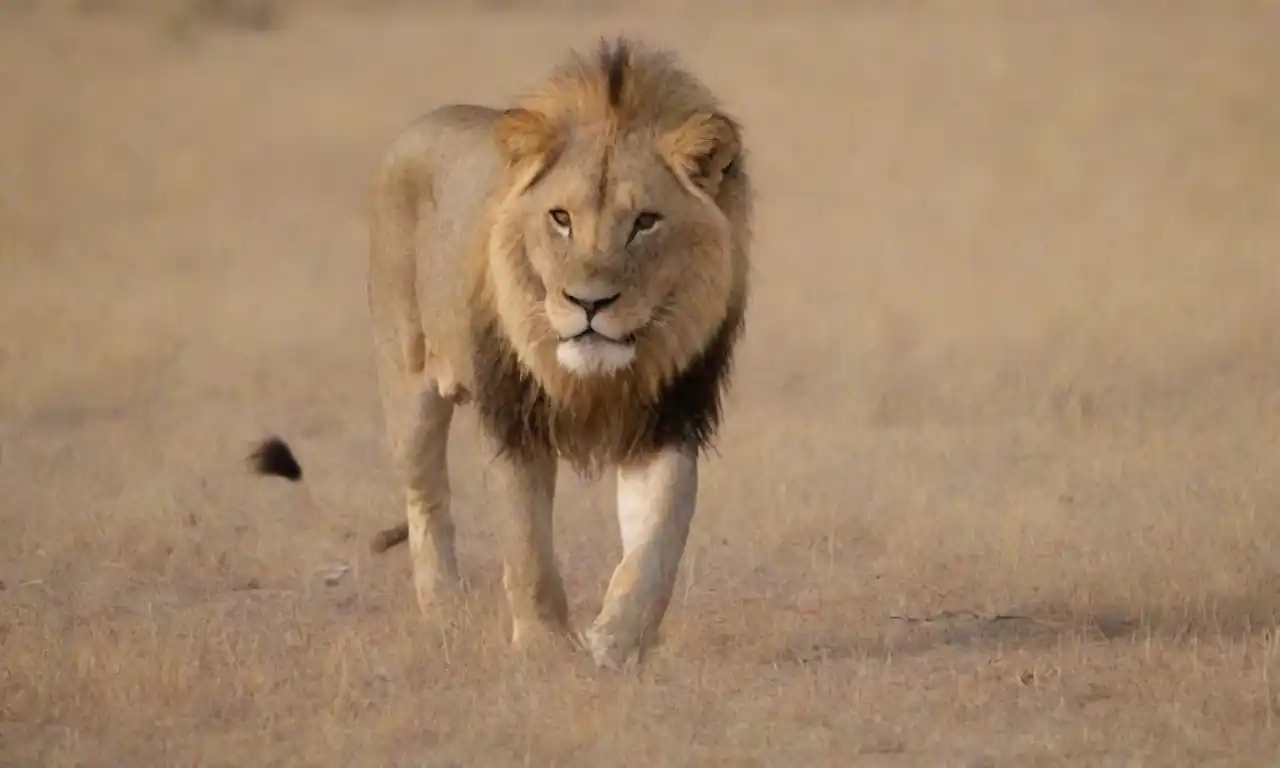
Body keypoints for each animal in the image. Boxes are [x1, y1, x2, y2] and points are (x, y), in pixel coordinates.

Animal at [362, 37, 751, 670]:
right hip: (409, 385)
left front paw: (617, 639)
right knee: (427, 499)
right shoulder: (516, 420)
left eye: (645, 221)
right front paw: (544, 646)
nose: (589, 303)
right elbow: (528, 546)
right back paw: (444, 610)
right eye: (561, 218)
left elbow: (657, 540)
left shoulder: (665, 418)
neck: (599, 380)